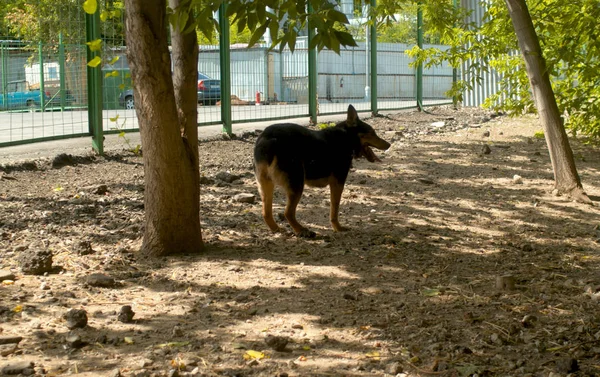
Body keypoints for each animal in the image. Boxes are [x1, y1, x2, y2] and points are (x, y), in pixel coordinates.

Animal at [252, 104, 390, 236]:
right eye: (372, 133)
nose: (389, 145)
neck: (346, 136)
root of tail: (269, 138)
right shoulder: (337, 183)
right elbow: (334, 209)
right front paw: (338, 227)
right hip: (297, 183)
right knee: (288, 213)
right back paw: (302, 230)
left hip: (266, 185)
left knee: (266, 212)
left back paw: (277, 229)